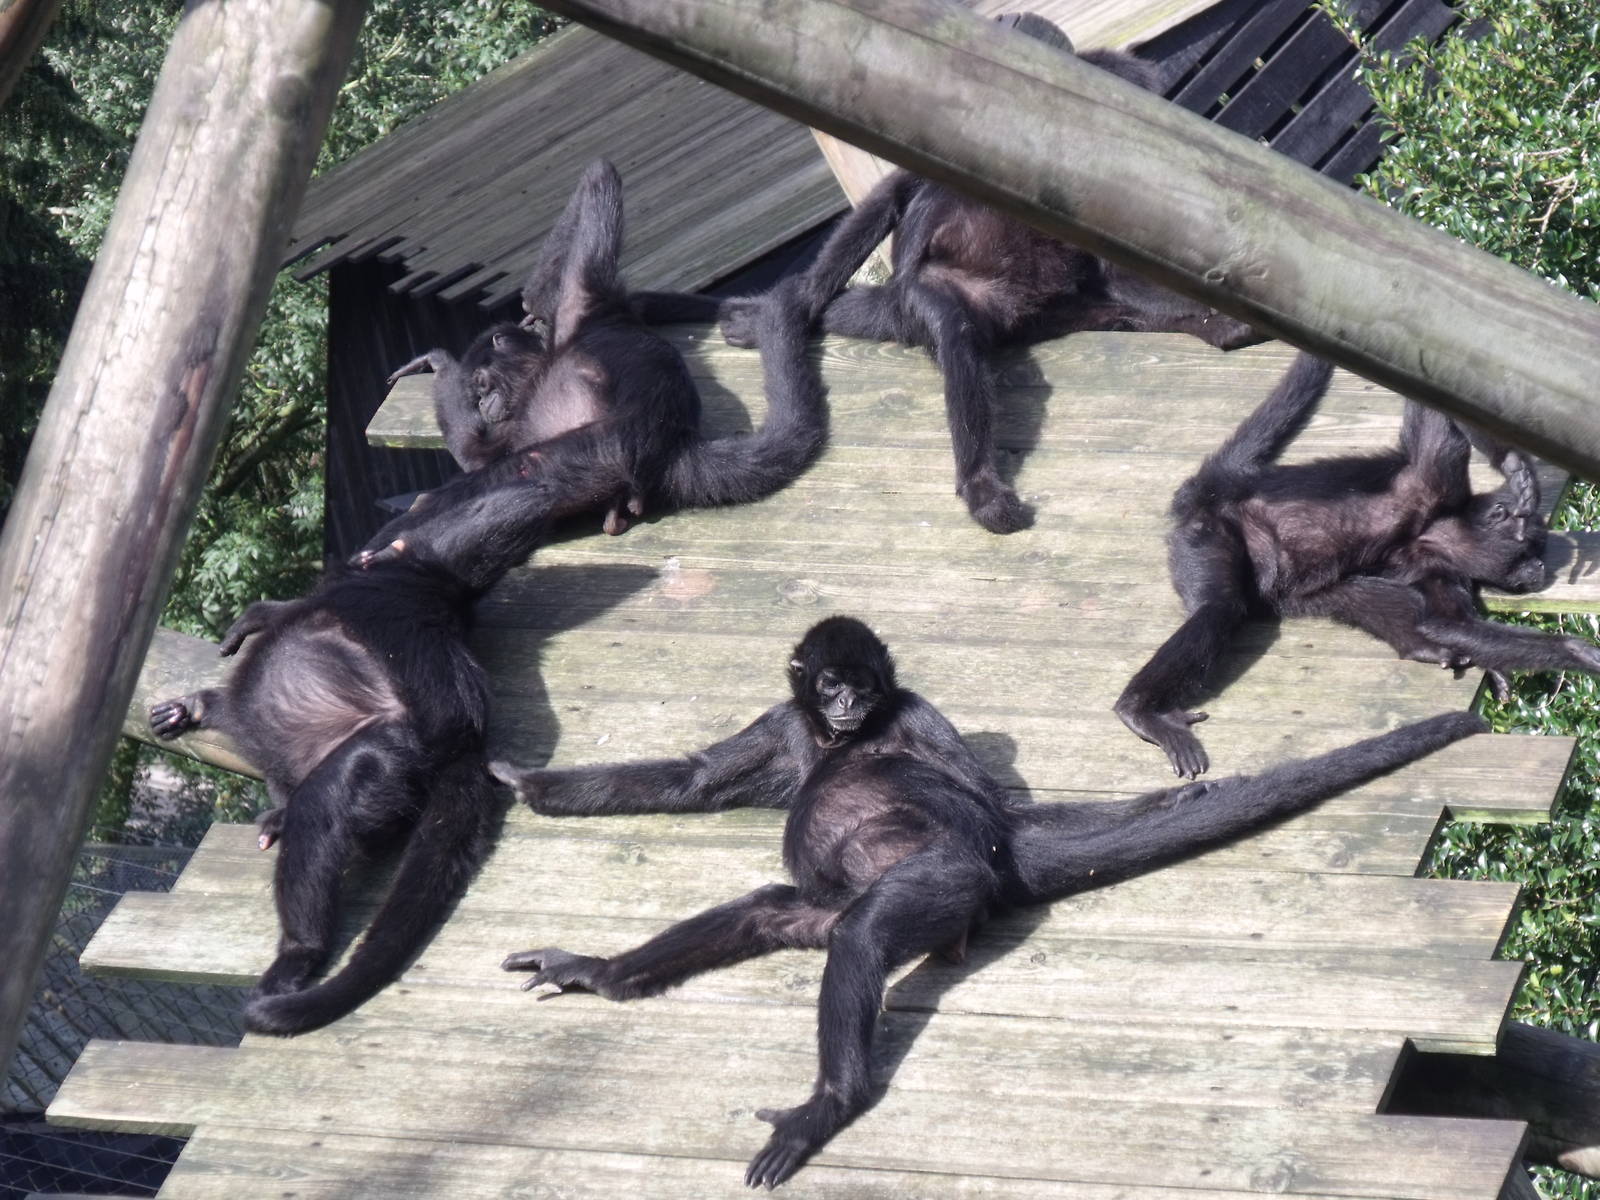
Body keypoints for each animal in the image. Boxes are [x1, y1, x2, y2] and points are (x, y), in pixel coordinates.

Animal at [383, 159, 826, 543]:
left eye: (482, 384)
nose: (485, 403)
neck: (555, 351)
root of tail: (674, 446)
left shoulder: (583, 303)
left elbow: (600, 187)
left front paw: (530, 300)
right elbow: (477, 452)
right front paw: (442, 366)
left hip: (600, 453)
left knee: (527, 468)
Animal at [492, 616, 1485, 1188]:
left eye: (862, 684)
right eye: (828, 684)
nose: (846, 704)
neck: (839, 738)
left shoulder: (918, 719)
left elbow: (986, 801)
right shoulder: (785, 725)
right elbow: (696, 781)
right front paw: (526, 784)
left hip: (946, 881)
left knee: (865, 932)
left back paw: (830, 1102)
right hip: (830, 900)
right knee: (770, 908)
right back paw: (603, 974)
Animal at [630, 14, 1261, 535]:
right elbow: (893, 194)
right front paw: (794, 305)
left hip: (1070, 302)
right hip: (934, 295)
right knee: (953, 334)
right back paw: (980, 488)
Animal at [1114, 352, 1593, 779]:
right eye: (1529, 550)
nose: (1537, 571)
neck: (1433, 530)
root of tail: (1214, 490)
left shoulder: (1441, 567)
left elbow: (1448, 621)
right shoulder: (1435, 478)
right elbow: (1434, 422)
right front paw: (1514, 465)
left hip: (1282, 584)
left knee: (1348, 592)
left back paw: (1422, 647)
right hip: (1208, 534)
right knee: (1220, 608)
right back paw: (1138, 710)